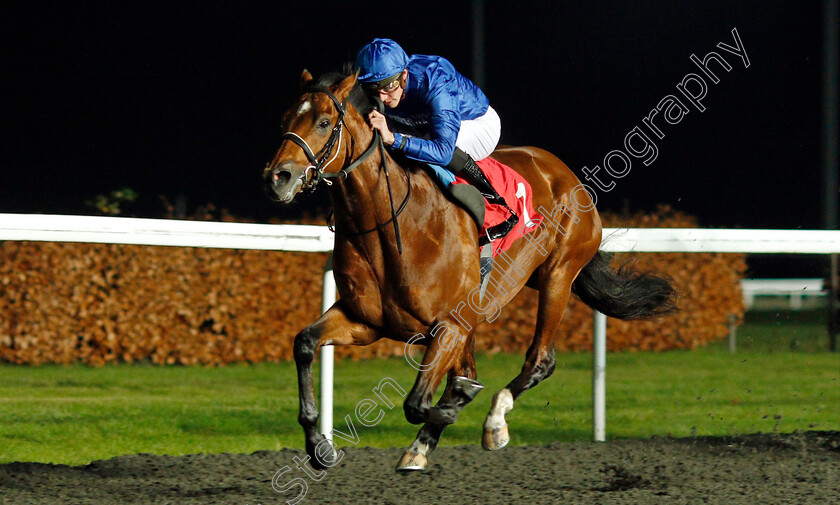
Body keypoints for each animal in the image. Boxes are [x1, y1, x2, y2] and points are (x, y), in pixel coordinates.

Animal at [262, 69, 676, 470]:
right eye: (284, 118)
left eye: (323, 122)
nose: (276, 177)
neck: (387, 224)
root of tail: (561, 170)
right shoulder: (365, 321)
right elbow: (305, 343)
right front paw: (318, 445)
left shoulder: (448, 325)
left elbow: (418, 403)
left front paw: (462, 410)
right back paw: (424, 444)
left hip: (559, 275)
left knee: (540, 359)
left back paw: (494, 420)